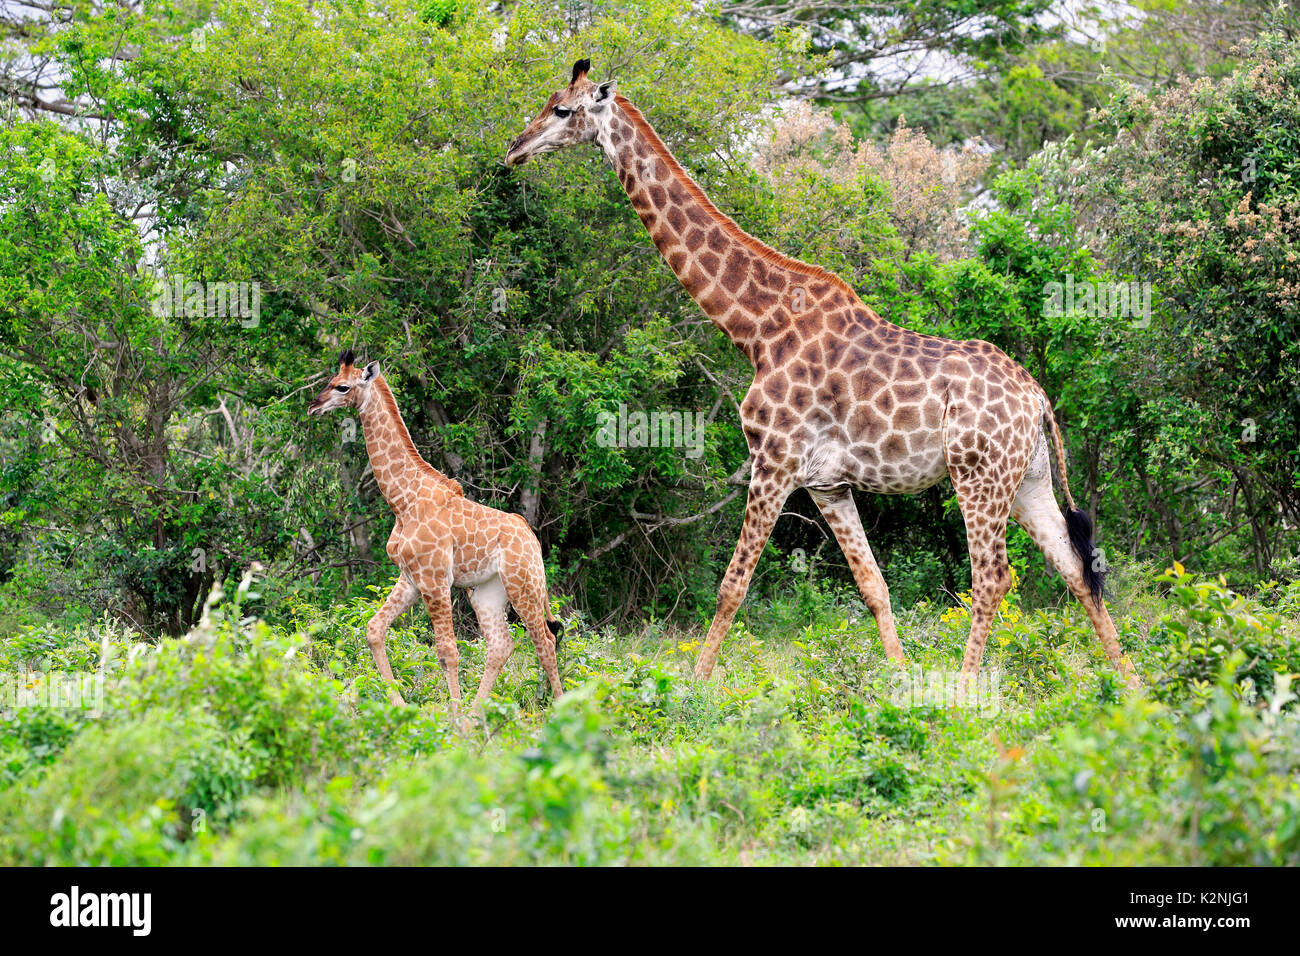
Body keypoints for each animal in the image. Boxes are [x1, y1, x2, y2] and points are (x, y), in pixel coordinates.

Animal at [308, 351, 565, 716]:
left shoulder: (434, 579)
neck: (403, 501)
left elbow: (447, 651)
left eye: (342, 386)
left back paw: (559, 709)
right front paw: (401, 706)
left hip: (523, 584)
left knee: (544, 639)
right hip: (487, 591)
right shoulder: (410, 578)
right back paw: (476, 717)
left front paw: (452, 720)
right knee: (502, 644)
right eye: (330, 381)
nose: (313, 406)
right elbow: (374, 629)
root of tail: (533, 541)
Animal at [505, 59, 1139, 692]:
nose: (514, 149)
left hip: (977, 475)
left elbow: (731, 587)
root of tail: (1037, 398)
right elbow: (874, 586)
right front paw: (897, 685)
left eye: (563, 110)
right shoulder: (827, 482)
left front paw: (694, 689)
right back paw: (1131, 689)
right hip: (1026, 479)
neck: (756, 328)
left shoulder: (774, 460)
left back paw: (963, 693)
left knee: (994, 576)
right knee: (1077, 569)